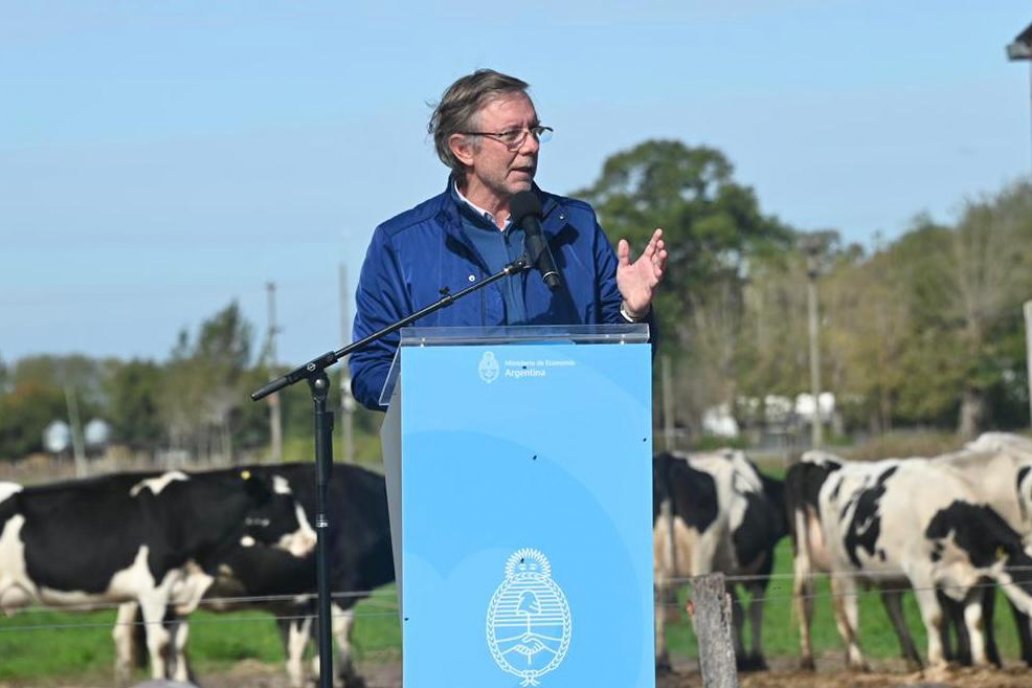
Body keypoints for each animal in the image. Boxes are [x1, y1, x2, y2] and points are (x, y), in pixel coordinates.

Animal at [0, 468, 313, 684]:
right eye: (284, 503)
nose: (312, 540)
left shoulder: (177, 594)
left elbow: (177, 646)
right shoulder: (154, 590)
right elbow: (160, 646)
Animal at [648, 451, 784, 672]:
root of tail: (668, 460)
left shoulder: (726, 573)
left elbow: (736, 613)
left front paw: (740, 657)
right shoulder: (764, 565)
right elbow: (754, 611)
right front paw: (756, 659)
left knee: (659, 608)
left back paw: (663, 662)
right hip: (701, 556)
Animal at [784, 451, 1032, 672]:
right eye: (1027, 577)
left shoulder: (976, 577)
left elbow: (975, 620)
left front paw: (983, 663)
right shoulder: (920, 572)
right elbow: (935, 617)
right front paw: (940, 662)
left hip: (888, 572)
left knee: (892, 605)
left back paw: (912, 661)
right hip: (843, 568)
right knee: (846, 609)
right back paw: (858, 663)